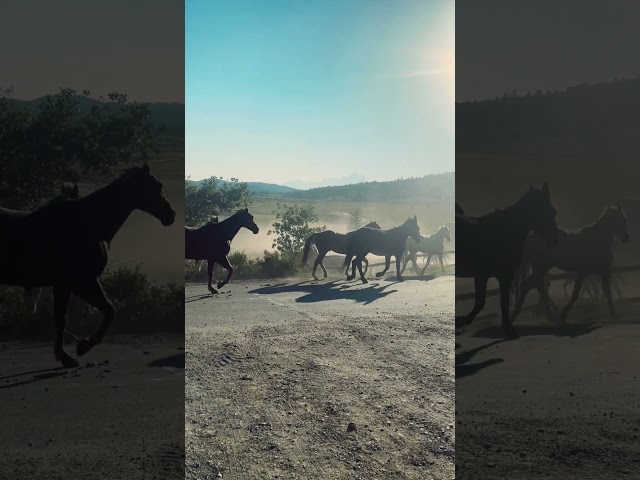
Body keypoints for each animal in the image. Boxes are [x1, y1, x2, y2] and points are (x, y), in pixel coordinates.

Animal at [0, 162, 175, 368]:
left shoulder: (66, 285)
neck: (87, 223)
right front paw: (80, 348)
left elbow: (63, 319)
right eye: (157, 186)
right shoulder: (81, 282)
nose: (171, 215)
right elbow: (107, 311)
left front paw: (68, 353)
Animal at [456, 183, 560, 338]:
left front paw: (461, 321)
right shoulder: (504, 276)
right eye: (542, 212)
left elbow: (480, 302)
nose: (554, 240)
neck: (506, 231)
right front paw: (509, 330)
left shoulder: (482, 275)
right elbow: (502, 303)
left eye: (553, 212)